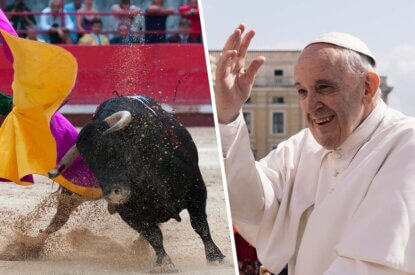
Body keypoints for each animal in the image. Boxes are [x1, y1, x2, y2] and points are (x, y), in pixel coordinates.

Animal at [48, 96, 224, 272]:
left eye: (114, 149)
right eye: (89, 164)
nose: (113, 194)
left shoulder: (196, 188)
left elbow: (200, 224)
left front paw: (215, 257)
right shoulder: (128, 213)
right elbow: (154, 235)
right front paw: (164, 263)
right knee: (60, 218)